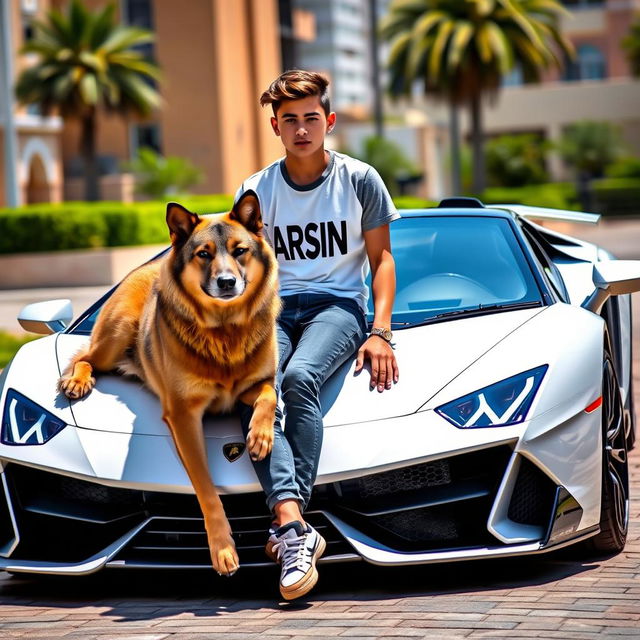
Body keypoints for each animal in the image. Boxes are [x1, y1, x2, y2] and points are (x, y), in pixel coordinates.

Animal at [58, 190, 278, 576]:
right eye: (203, 253)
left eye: (240, 250)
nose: (227, 282)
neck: (225, 331)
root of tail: (150, 264)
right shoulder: (183, 414)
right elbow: (206, 487)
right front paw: (223, 550)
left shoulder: (255, 383)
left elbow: (269, 393)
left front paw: (260, 436)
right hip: (116, 333)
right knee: (85, 357)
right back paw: (77, 381)